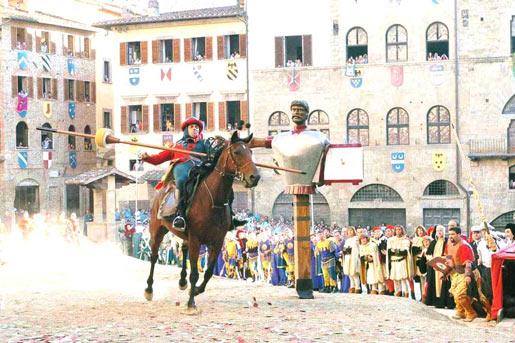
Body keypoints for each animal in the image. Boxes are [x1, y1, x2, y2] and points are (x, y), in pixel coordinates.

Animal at [143, 130, 260, 314]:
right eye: (236, 152)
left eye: (250, 151)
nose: (255, 177)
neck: (213, 200)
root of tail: (163, 189)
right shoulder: (197, 239)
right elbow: (195, 273)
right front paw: (191, 303)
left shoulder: (217, 241)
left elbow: (209, 271)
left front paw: (196, 290)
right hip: (157, 230)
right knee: (154, 257)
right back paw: (149, 289)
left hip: (185, 236)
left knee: (183, 250)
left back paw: (182, 282)